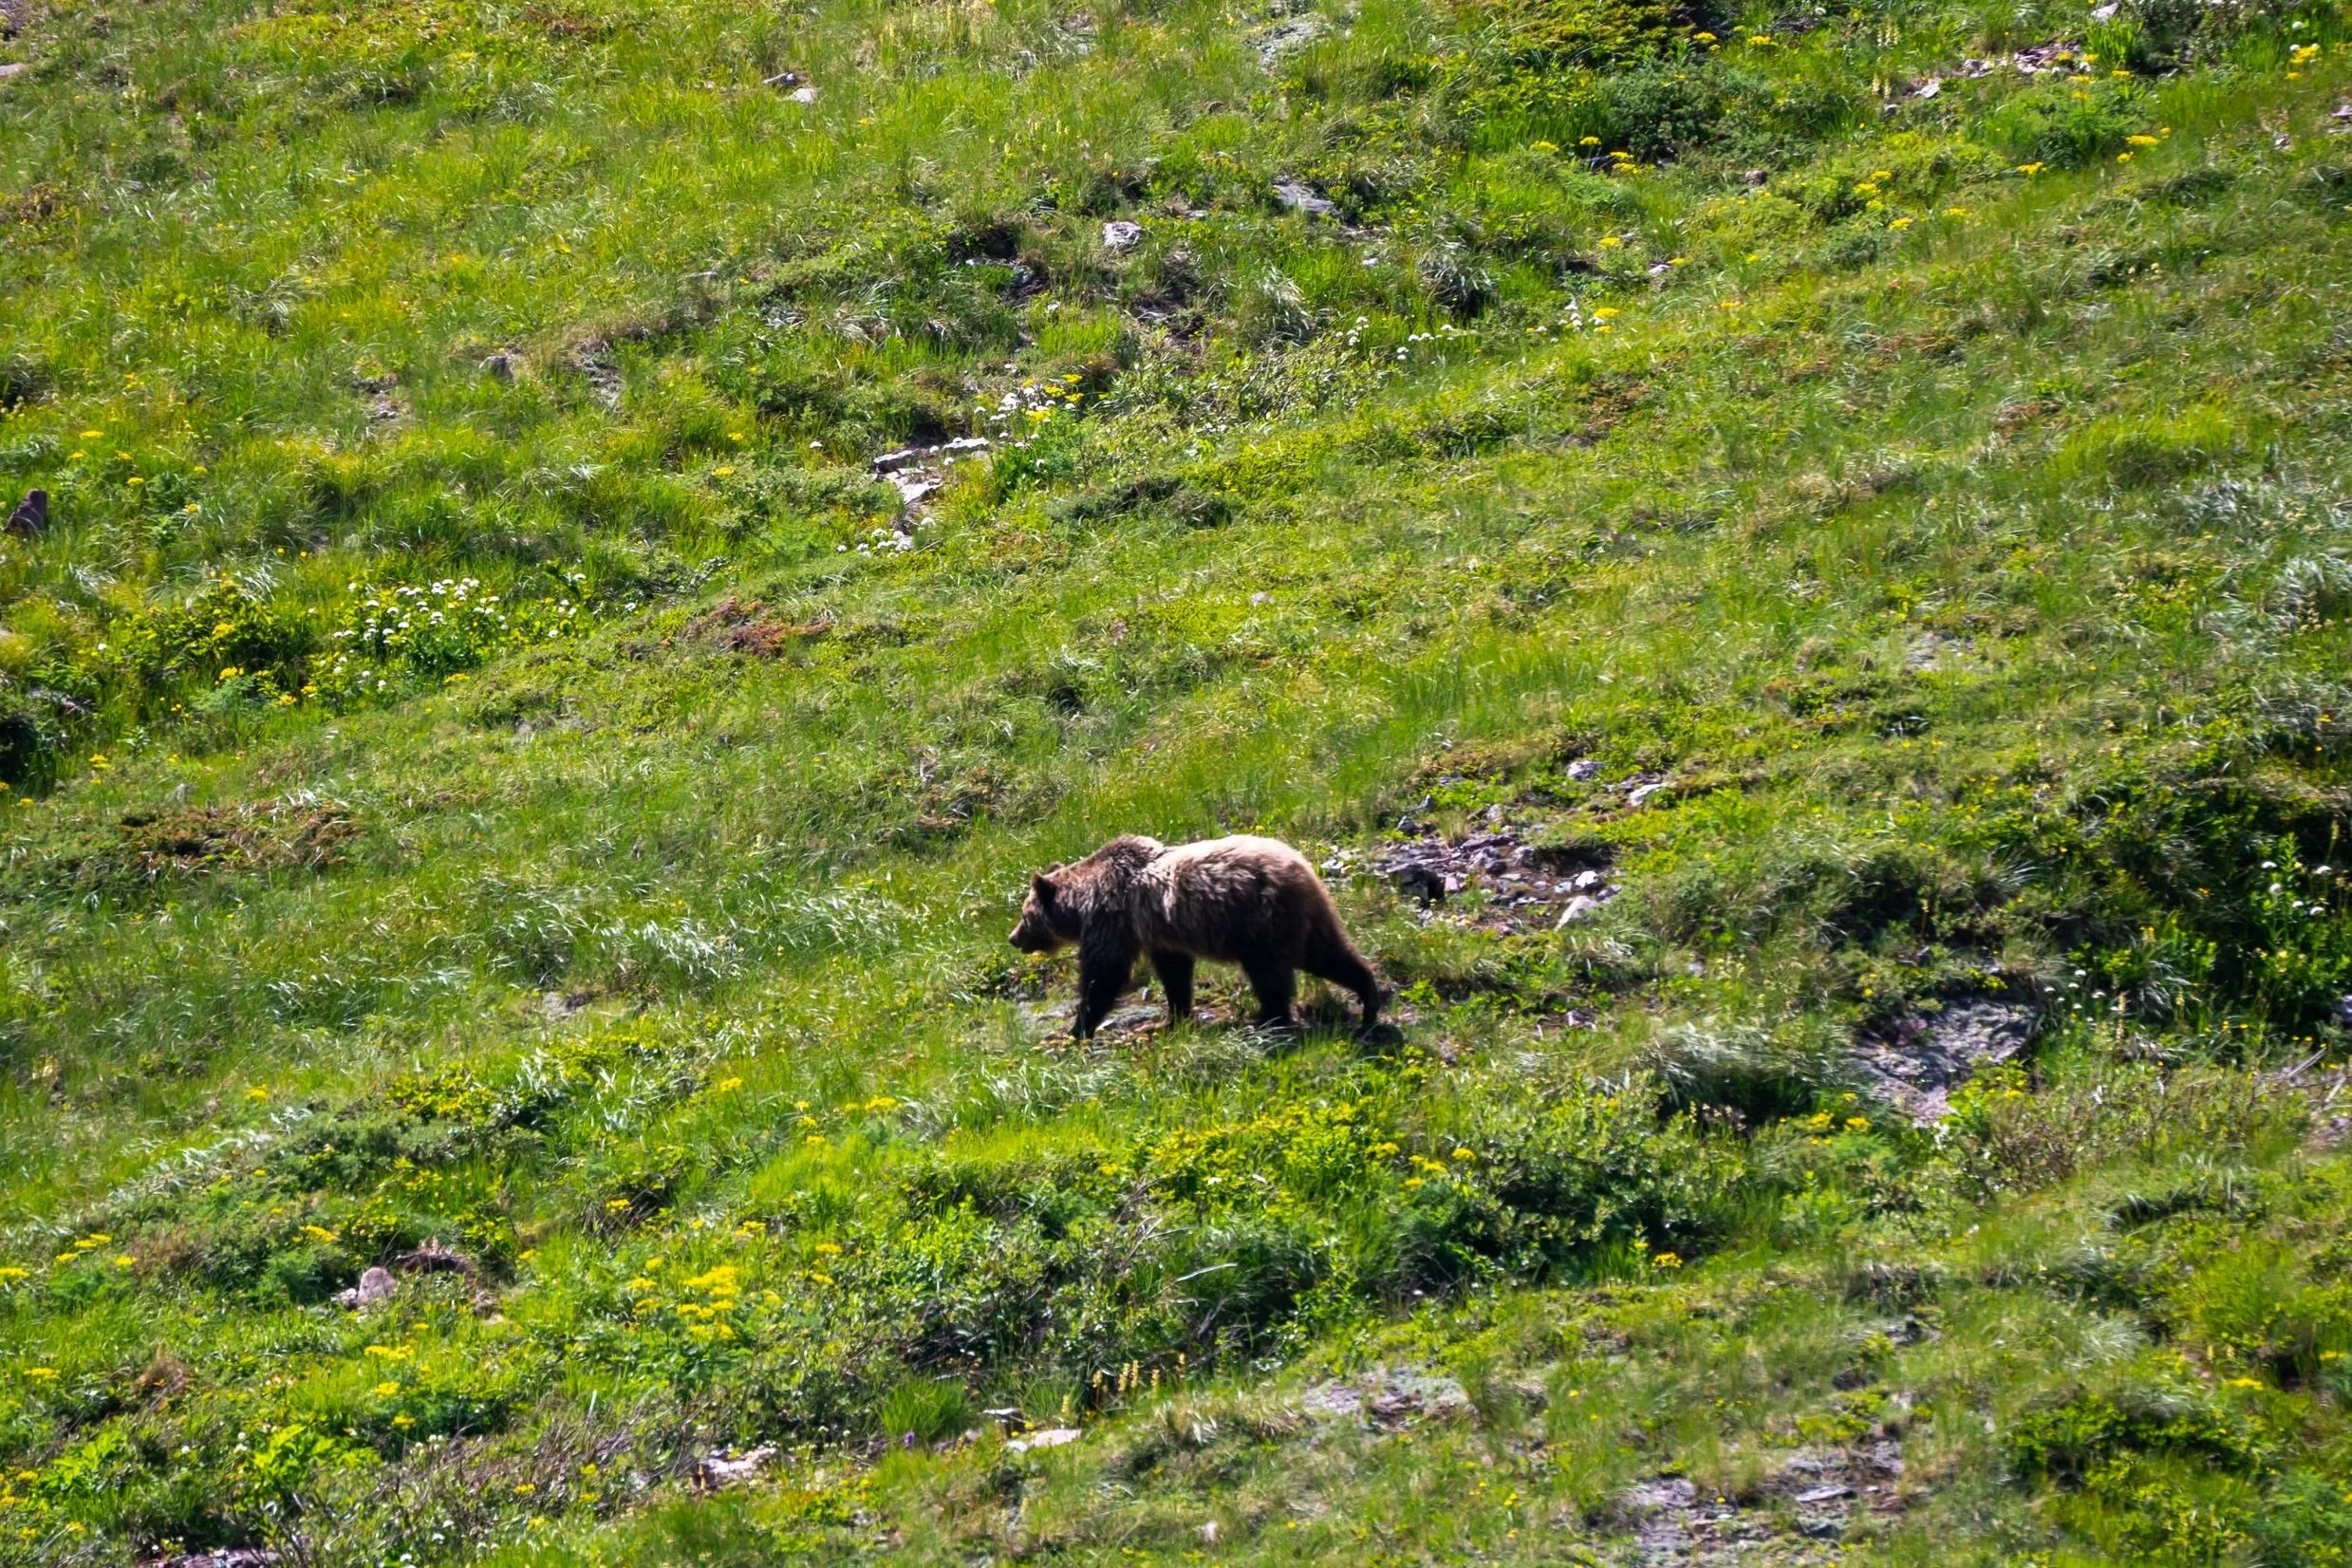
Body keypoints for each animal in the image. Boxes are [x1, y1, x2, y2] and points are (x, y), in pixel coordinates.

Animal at [1010, 834, 1382, 1039]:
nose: (1013, 938)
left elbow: (1104, 974)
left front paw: (1077, 1027)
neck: (1082, 901)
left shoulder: (1112, 917)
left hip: (1259, 923)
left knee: (1269, 975)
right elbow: (1174, 973)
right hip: (1303, 920)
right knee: (1328, 954)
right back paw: (1368, 1000)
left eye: (1025, 915)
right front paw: (1170, 1019)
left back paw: (1266, 1018)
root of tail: (1301, 867)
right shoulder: (1159, 934)